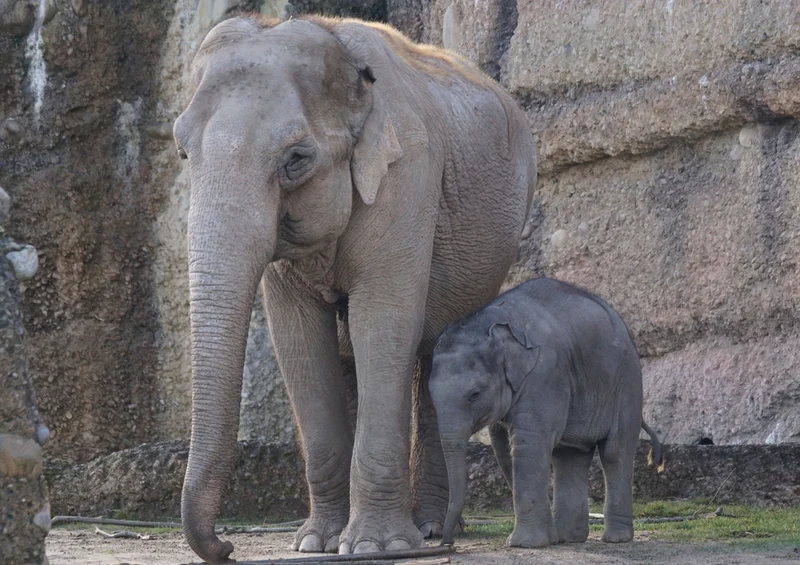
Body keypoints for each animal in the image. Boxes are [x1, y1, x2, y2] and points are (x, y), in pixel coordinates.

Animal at [173, 14, 536, 564]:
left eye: (296, 159)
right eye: (182, 151)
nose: (227, 545)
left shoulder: (408, 177)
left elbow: (382, 322)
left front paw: (374, 546)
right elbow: (298, 340)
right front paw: (315, 543)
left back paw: (429, 530)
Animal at [428, 277, 664, 548]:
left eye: (474, 395)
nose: (447, 543)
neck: (493, 321)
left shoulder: (545, 373)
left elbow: (527, 443)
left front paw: (524, 544)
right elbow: (504, 449)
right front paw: (546, 538)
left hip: (627, 383)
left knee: (615, 452)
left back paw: (616, 539)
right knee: (569, 456)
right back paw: (567, 538)